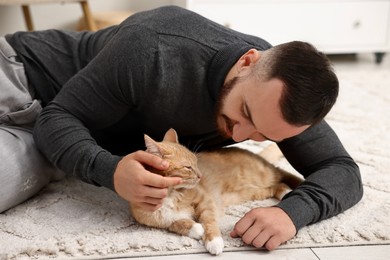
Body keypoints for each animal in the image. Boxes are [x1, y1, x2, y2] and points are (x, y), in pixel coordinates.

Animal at [129, 129, 304, 255]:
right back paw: (285, 192)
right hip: (249, 192)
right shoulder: (159, 220)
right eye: (188, 167)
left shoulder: (205, 201)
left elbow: (209, 220)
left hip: (263, 175)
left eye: (196, 162)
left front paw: (214, 241)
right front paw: (196, 229)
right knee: (276, 185)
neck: (171, 194)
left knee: (283, 175)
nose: (200, 176)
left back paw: (292, 189)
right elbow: (177, 223)